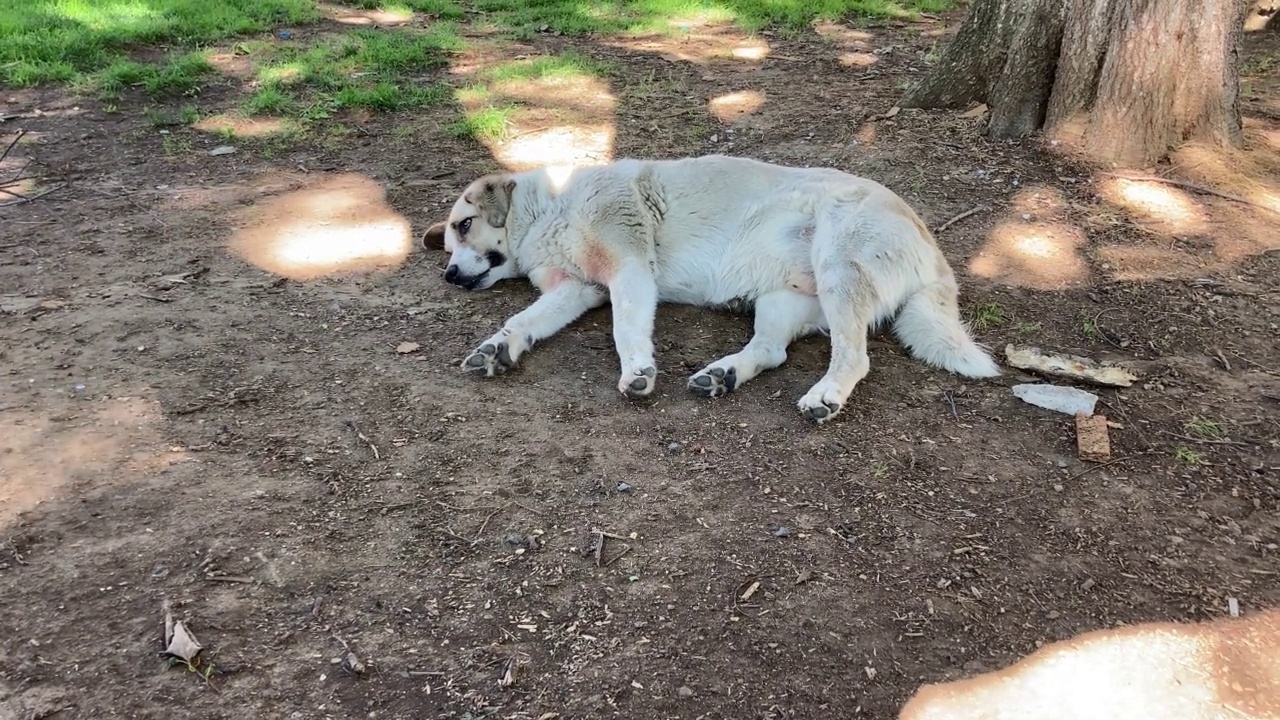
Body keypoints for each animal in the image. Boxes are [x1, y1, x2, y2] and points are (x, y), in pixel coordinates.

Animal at [422, 151, 998, 420]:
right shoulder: (577, 290)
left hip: (839, 270)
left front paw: (638, 372)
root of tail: (931, 246)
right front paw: (497, 348)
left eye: (465, 225)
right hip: (782, 301)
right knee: (771, 352)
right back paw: (724, 375)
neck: (549, 211)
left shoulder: (629, 269)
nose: (449, 275)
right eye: (449, 245)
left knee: (853, 358)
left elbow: (625, 331)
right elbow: (522, 320)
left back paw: (826, 395)